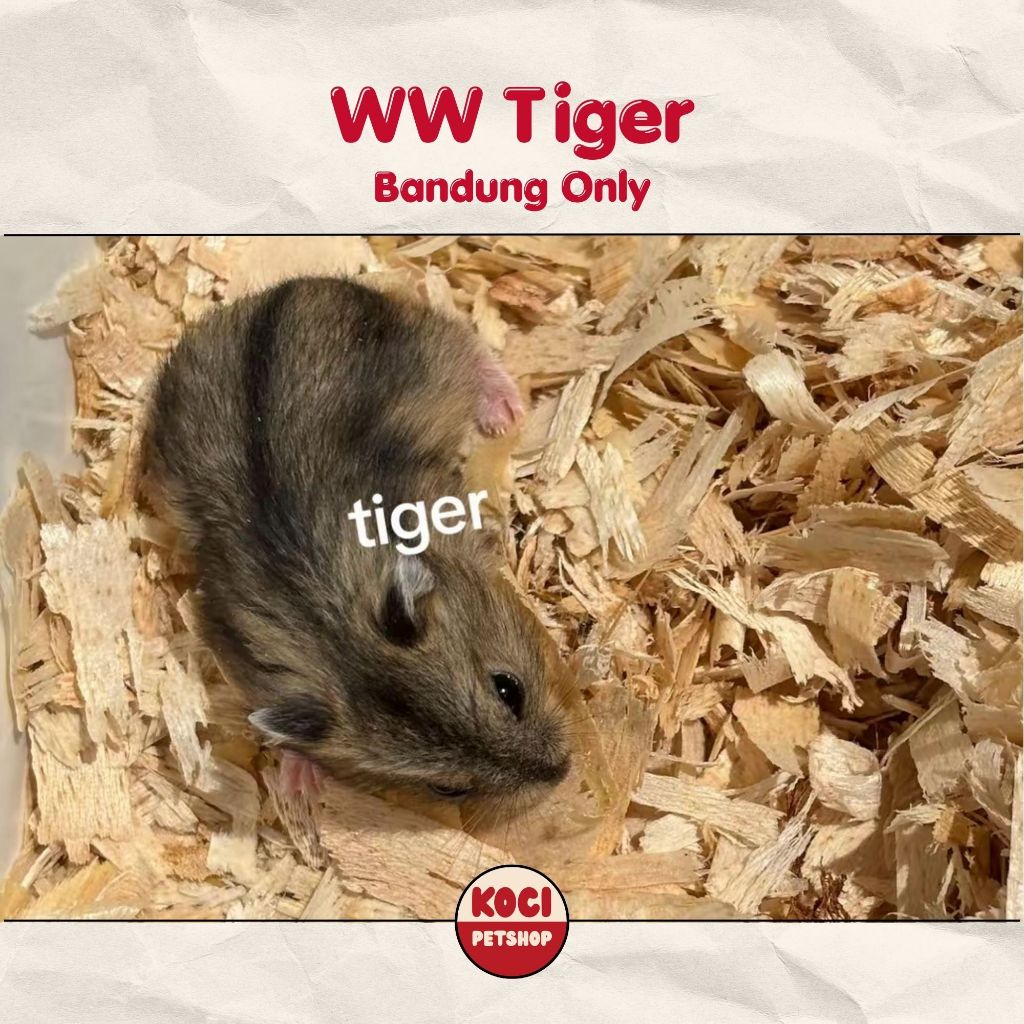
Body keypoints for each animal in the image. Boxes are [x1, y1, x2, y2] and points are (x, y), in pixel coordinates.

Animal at [145, 276, 571, 801]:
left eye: (510, 689)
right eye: (449, 790)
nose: (562, 771)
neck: (333, 627)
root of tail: (292, 287)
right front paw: (300, 784)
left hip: (429, 355)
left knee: (463, 338)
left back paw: (505, 411)